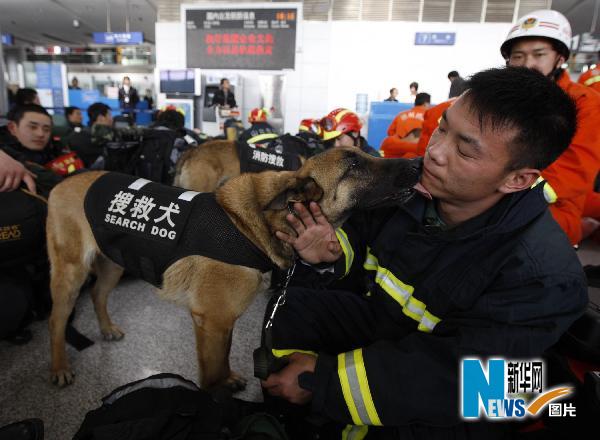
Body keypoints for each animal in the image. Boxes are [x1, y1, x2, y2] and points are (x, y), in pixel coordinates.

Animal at [45, 147, 422, 388]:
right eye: (354, 167)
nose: (419, 164)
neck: (253, 225)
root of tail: (61, 183)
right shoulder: (211, 323)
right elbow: (211, 375)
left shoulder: (222, 324)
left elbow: (224, 358)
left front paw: (228, 379)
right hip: (70, 274)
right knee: (57, 320)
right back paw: (59, 367)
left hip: (113, 265)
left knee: (97, 294)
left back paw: (106, 328)